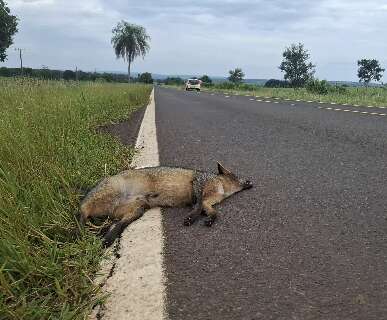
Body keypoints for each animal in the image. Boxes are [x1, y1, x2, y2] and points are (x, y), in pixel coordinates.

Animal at [80, 162, 253, 248]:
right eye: (237, 175)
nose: (251, 181)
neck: (221, 187)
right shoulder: (198, 185)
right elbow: (197, 208)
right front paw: (191, 218)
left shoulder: (208, 202)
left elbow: (214, 213)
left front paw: (209, 219)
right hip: (108, 196)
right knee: (82, 210)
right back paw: (79, 230)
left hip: (137, 210)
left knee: (117, 224)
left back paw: (108, 238)